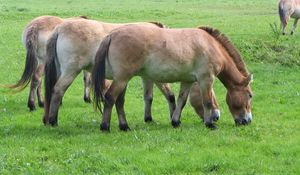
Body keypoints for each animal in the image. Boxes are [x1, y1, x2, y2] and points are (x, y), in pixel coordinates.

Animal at [92, 23, 253, 131]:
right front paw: (210, 124)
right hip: (122, 79)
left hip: (123, 80)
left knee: (119, 101)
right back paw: (105, 126)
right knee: (110, 98)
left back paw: (124, 126)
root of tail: (112, 35)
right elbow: (207, 102)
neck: (210, 45)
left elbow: (181, 101)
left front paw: (175, 121)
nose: (248, 120)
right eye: (250, 95)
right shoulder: (206, 79)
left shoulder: (187, 81)